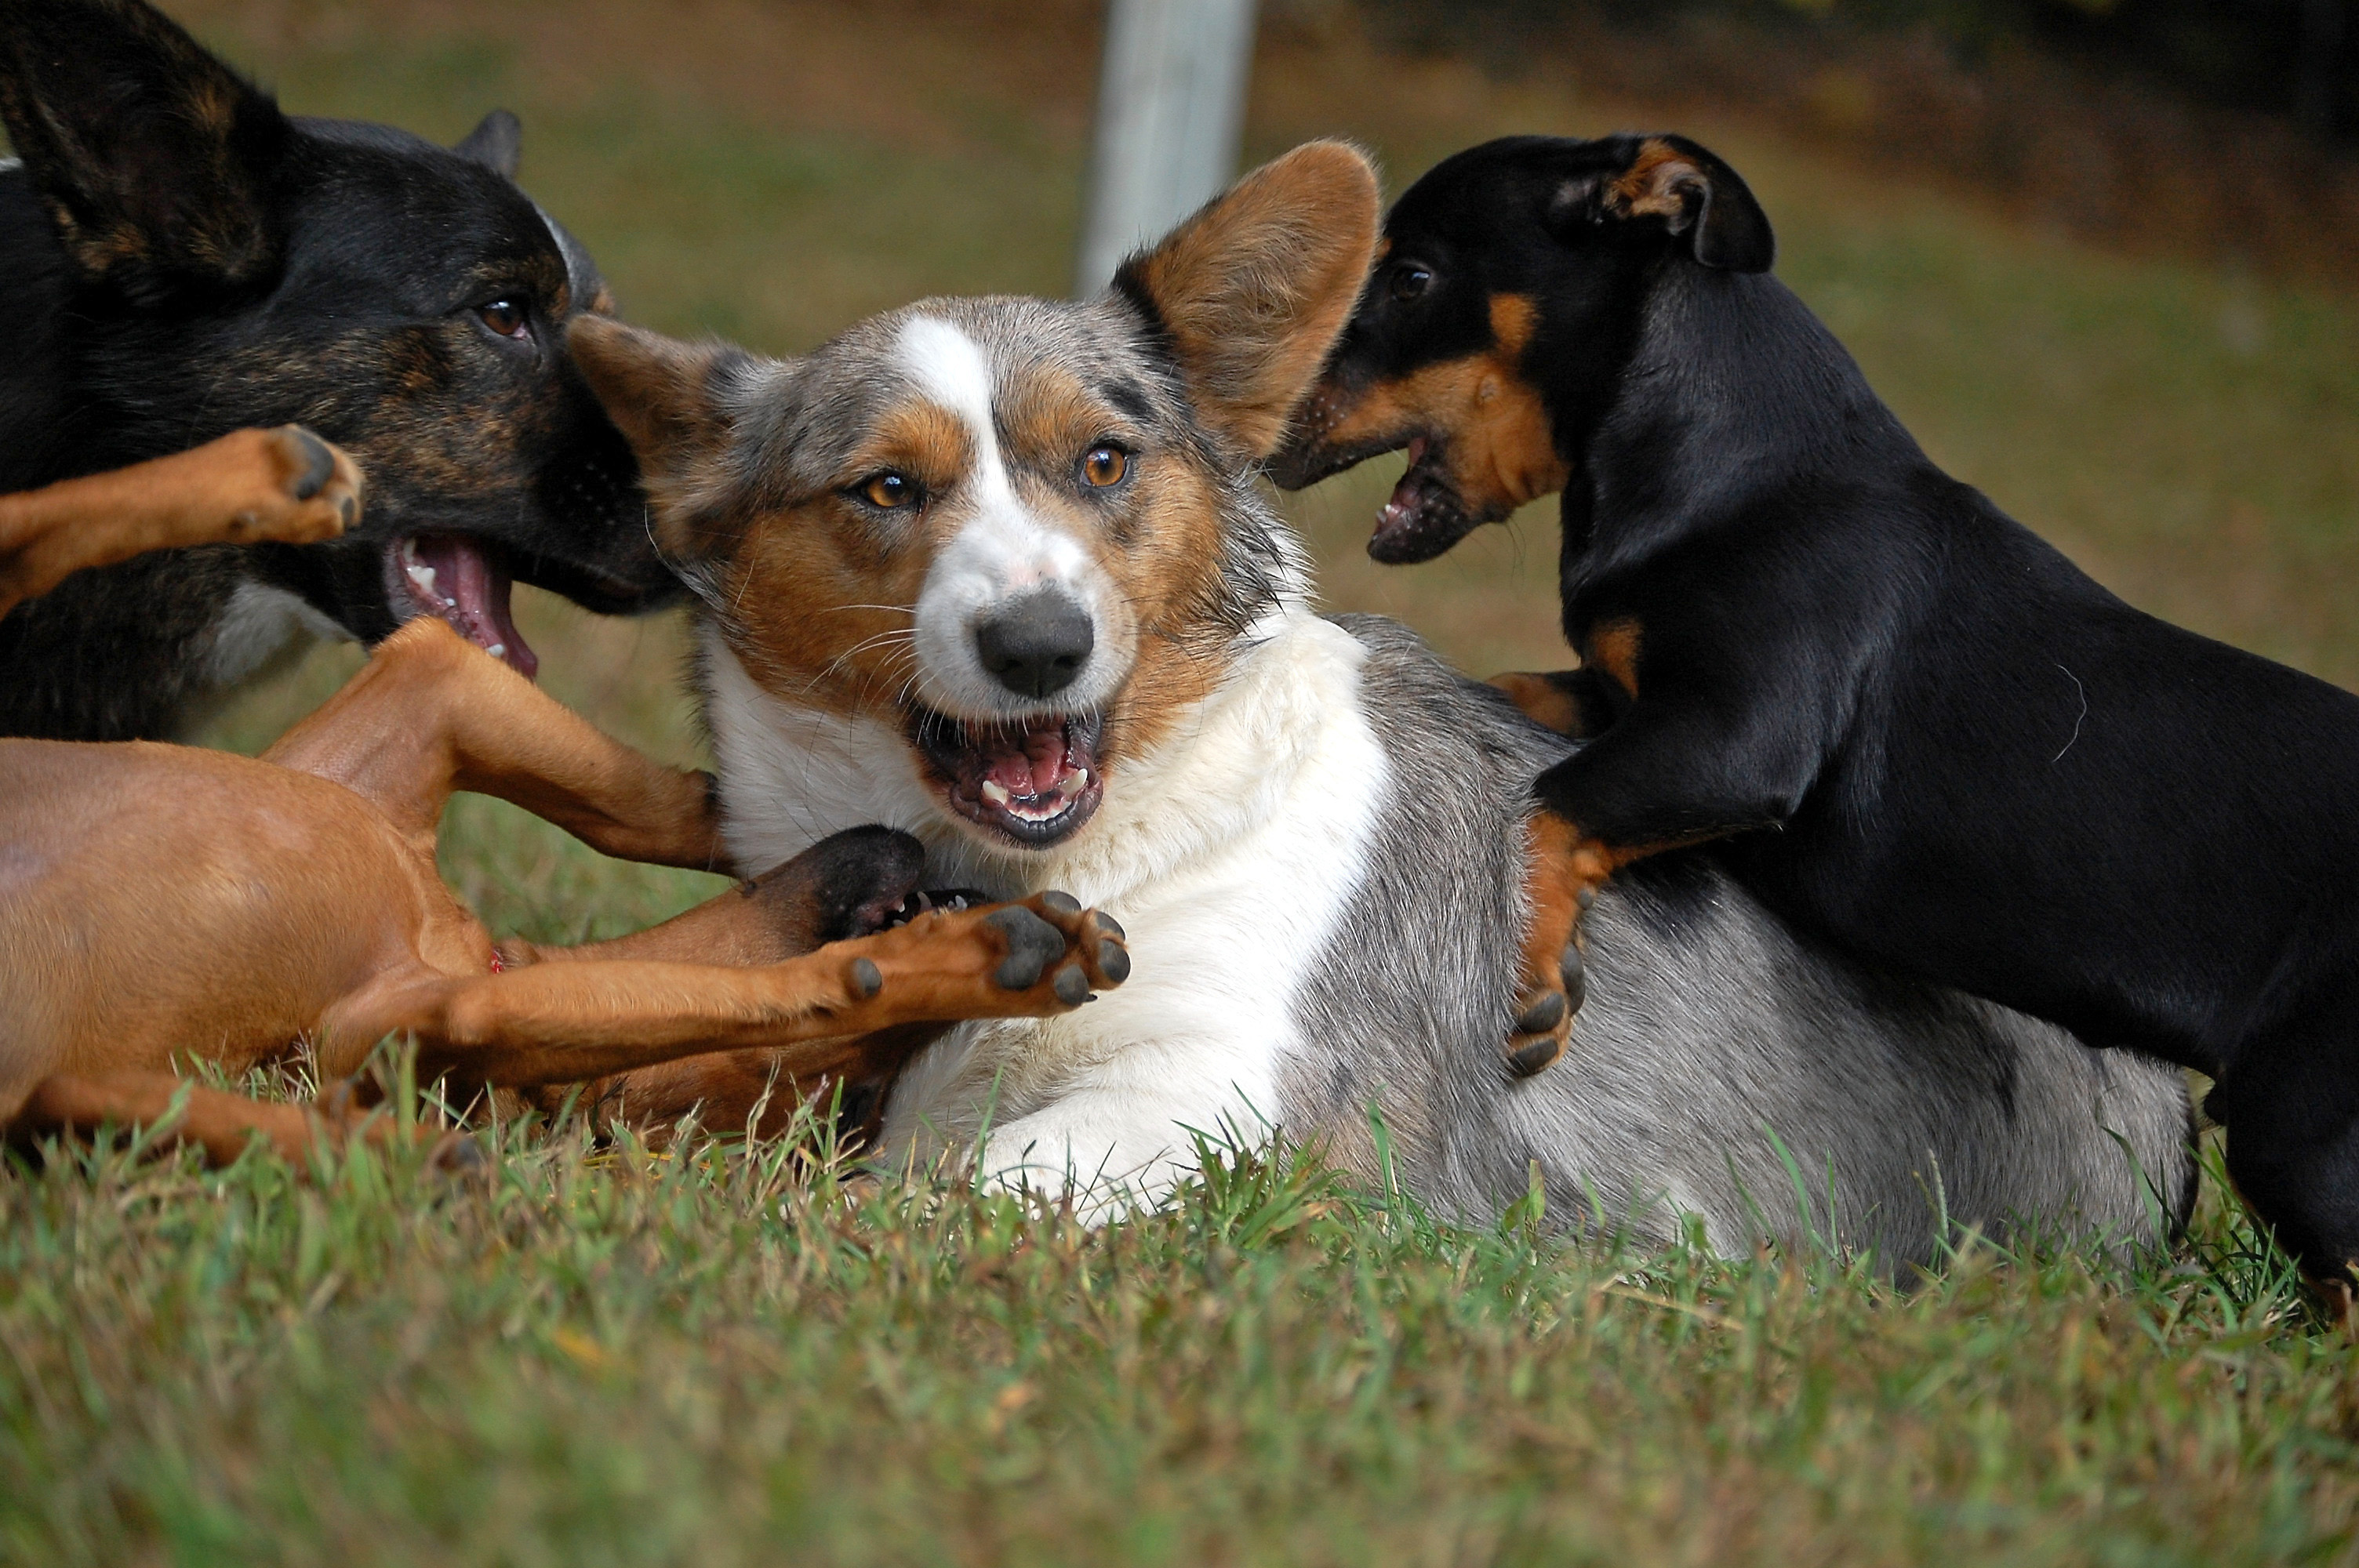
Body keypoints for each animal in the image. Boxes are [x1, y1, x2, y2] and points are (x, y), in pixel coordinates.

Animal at [570, 140, 2189, 1254]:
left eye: (1101, 460)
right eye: (884, 489)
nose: (1039, 647)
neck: (1064, 868)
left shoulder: (1223, 1096)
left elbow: (954, 1186)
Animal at [1283, 134, 2359, 1283]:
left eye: (1410, 276)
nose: (1272, 426)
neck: (1731, 463)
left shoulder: (1737, 740)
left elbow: (1551, 800)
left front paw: (1538, 975)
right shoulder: (1633, 700)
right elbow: (1520, 697)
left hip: (2299, 1132)